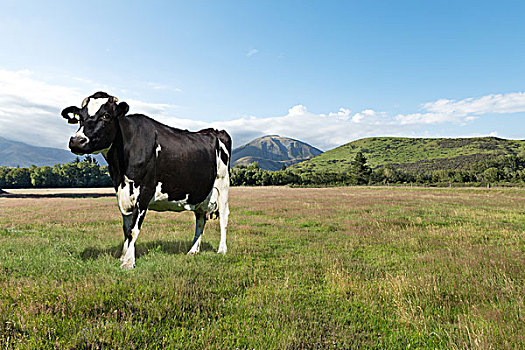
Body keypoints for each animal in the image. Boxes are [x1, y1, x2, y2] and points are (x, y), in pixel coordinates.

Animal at [60, 91, 230, 270]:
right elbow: (126, 228)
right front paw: (124, 256)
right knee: (200, 217)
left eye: (106, 115)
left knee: (223, 216)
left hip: (223, 184)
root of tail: (213, 130)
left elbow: (133, 229)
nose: (77, 141)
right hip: (200, 191)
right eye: (80, 117)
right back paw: (193, 250)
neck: (120, 168)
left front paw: (128, 262)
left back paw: (222, 250)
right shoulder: (122, 192)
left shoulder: (145, 191)